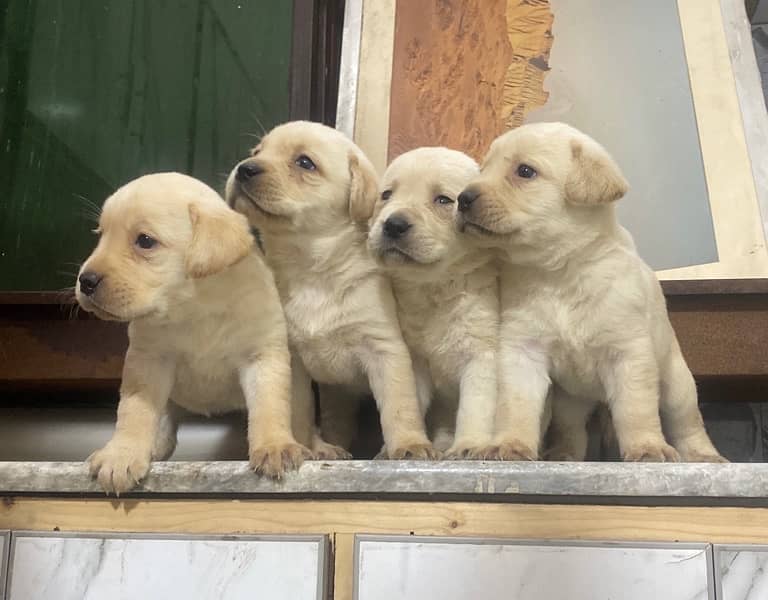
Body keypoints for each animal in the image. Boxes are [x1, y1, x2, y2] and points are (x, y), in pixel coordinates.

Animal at [75, 171, 308, 494]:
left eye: (144, 241)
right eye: (101, 234)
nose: (85, 281)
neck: (194, 306)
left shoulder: (262, 357)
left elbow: (269, 406)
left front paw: (275, 446)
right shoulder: (147, 361)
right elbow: (134, 411)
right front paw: (121, 454)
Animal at [225, 122, 436, 460]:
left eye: (304, 163)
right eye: (257, 152)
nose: (244, 168)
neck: (311, 271)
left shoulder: (385, 350)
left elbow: (399, 407)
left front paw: (409, 445)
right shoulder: (293, 361)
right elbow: (298, 413)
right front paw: (303, 449)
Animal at [368, 148, 498, 458]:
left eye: (443, 200)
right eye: (386, 194)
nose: (393, 225)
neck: (435, 286)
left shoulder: (483, 354)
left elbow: (475, 406)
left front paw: (469, 446)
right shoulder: (415, 360)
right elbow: (407, 403)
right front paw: (403, 446)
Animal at [460, 123, 724, 464]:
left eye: (525, 171)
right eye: (483, 169)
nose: (462, 199)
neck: (559, 271)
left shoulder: (628, 353)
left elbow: (636, 412)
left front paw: (647, 448)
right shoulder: (522, 350)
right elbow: (517, 406)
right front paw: (511, 444)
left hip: (677, 384)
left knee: (687, 423)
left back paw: (705, 455)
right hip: (570, 400)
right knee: (572, 431)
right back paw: (563, 455)